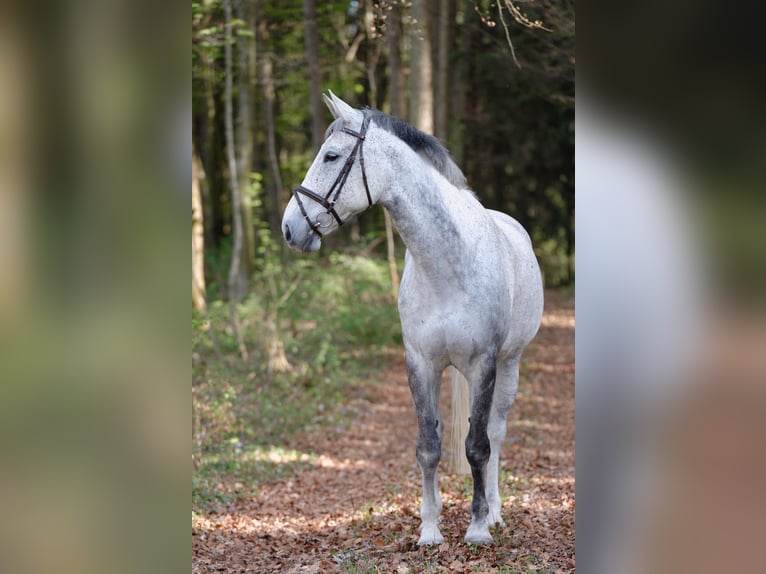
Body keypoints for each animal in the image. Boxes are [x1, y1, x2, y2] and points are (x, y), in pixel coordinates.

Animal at [284, 92, 544, 548]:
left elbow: (477, 446)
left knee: (495, 432)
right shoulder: (420, 363)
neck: (447, 263)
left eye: (332, 156)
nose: (289, 227)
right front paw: (429, 529)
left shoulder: (484, 363)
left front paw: (477, 528)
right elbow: (429, 445)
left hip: (510, 363)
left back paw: (495, 512)